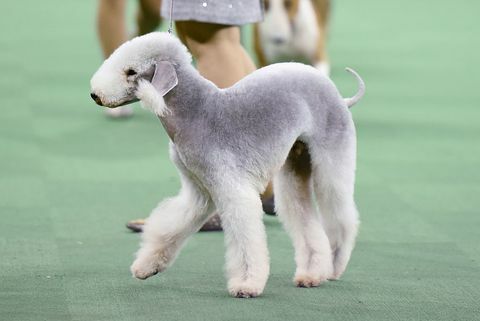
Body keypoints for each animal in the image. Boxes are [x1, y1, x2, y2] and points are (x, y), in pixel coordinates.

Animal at [91, 31, 364, 298]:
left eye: (131, 72)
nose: (95, 95)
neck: (195, 112)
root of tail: (340, 97)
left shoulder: (233, 189)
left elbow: (245, 238)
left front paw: (247, 285)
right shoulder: (198, 190)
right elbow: (173, 224)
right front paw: (147, 266)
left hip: (331, 160)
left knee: (340, 215)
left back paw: (334, 267)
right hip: (295, 163)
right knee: (302, 215)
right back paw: (311, 275)